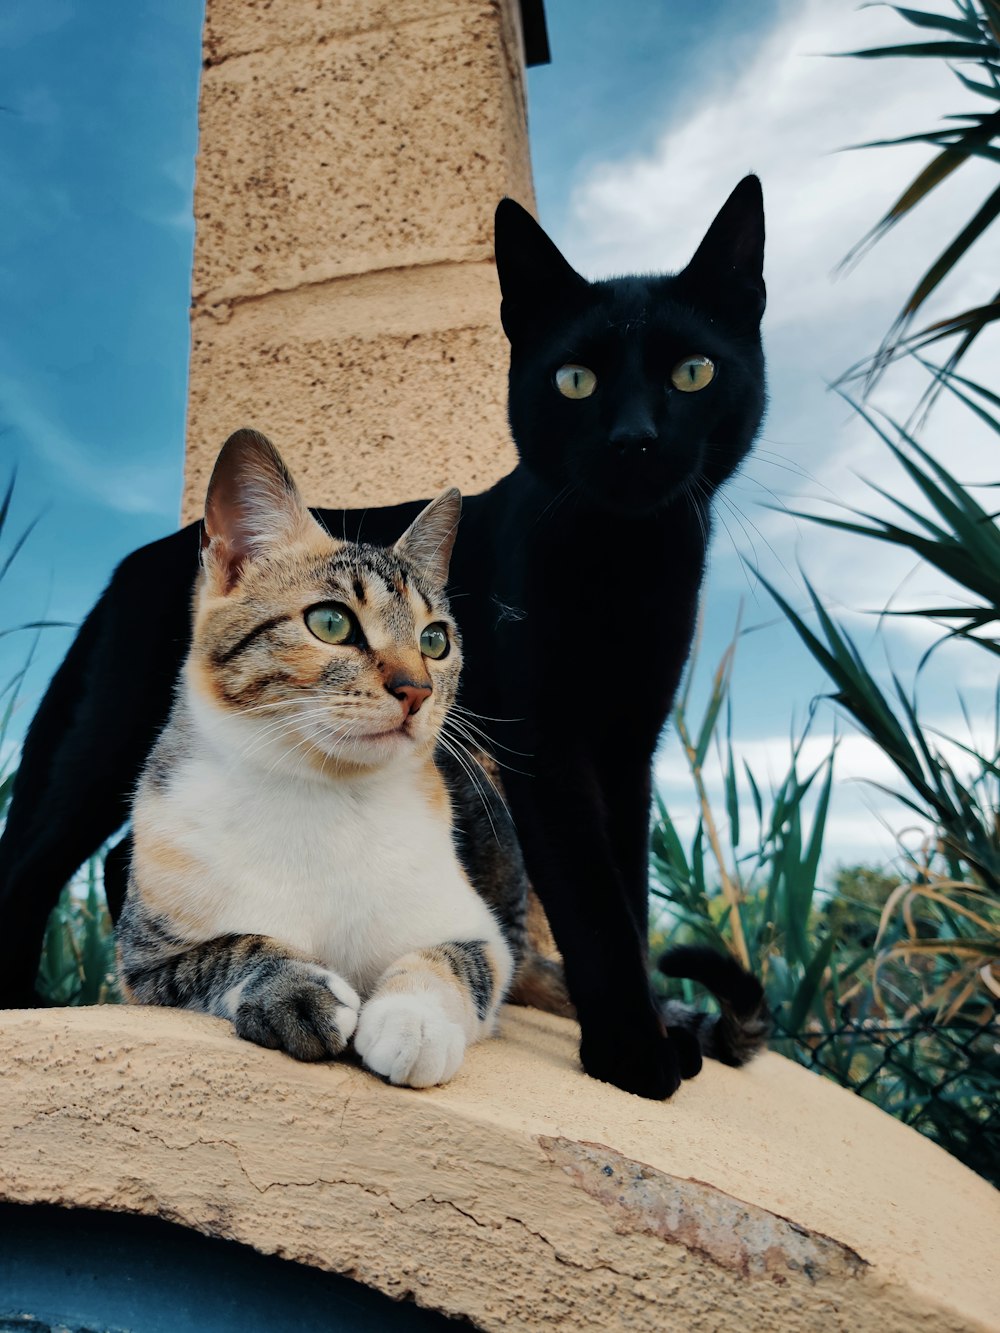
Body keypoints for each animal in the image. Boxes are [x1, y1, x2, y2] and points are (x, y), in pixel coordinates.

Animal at [118, 431, 520, 1087]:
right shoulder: (141, 963)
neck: (328, 794)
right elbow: (228, 949)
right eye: (331, 622)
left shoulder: (483, 936)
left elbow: (452, 960)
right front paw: (295, 988)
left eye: (435, 640)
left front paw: (414, 1021)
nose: (417, 690)